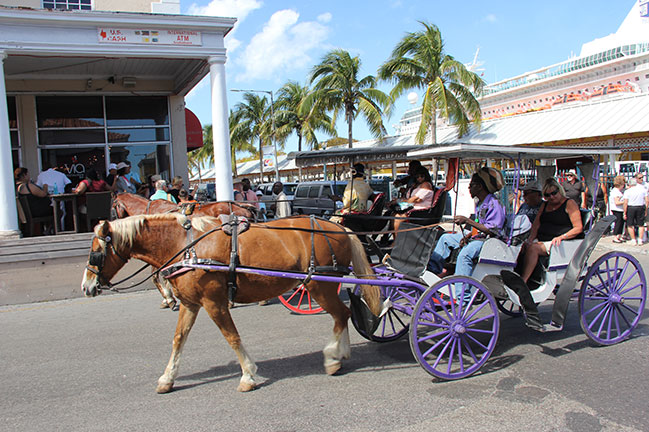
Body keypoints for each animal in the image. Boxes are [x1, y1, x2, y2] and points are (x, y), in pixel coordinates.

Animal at [81, 213, 382, 393]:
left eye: (95, 253)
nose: (86, 287)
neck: (187, 247)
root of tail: (339, 227)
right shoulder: (190, 304)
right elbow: (178, 339)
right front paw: (167, 378)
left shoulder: (214, 303)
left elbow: (232, 337)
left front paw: (248, 375)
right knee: (343, 314)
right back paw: (340, 355)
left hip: (319, 285)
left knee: (341, 314)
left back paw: (333, 358)